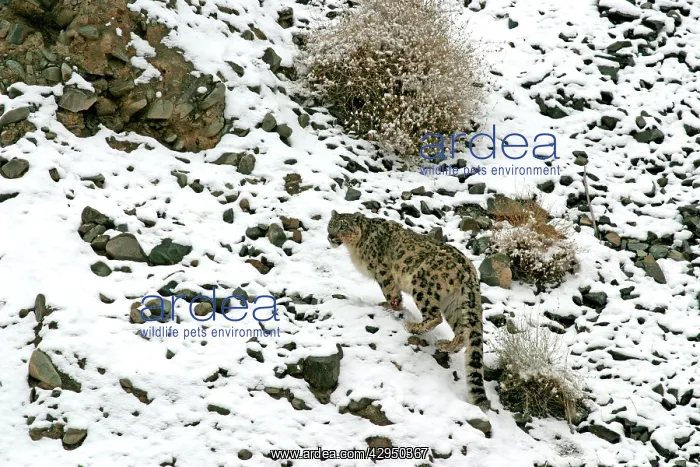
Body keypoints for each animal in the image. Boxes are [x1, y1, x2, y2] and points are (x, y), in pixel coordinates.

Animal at [327, 210, 490, 412]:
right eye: (331, 224)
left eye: (343, 226)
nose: (331, 236)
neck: (355, 247)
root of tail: (470, 271)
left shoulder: (383, 272)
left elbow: (391, 293)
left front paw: (390, 306)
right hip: (455, 303)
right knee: (462, 332)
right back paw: (446, 345)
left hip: (422, 284)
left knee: (434, 316)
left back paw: (412, 326)